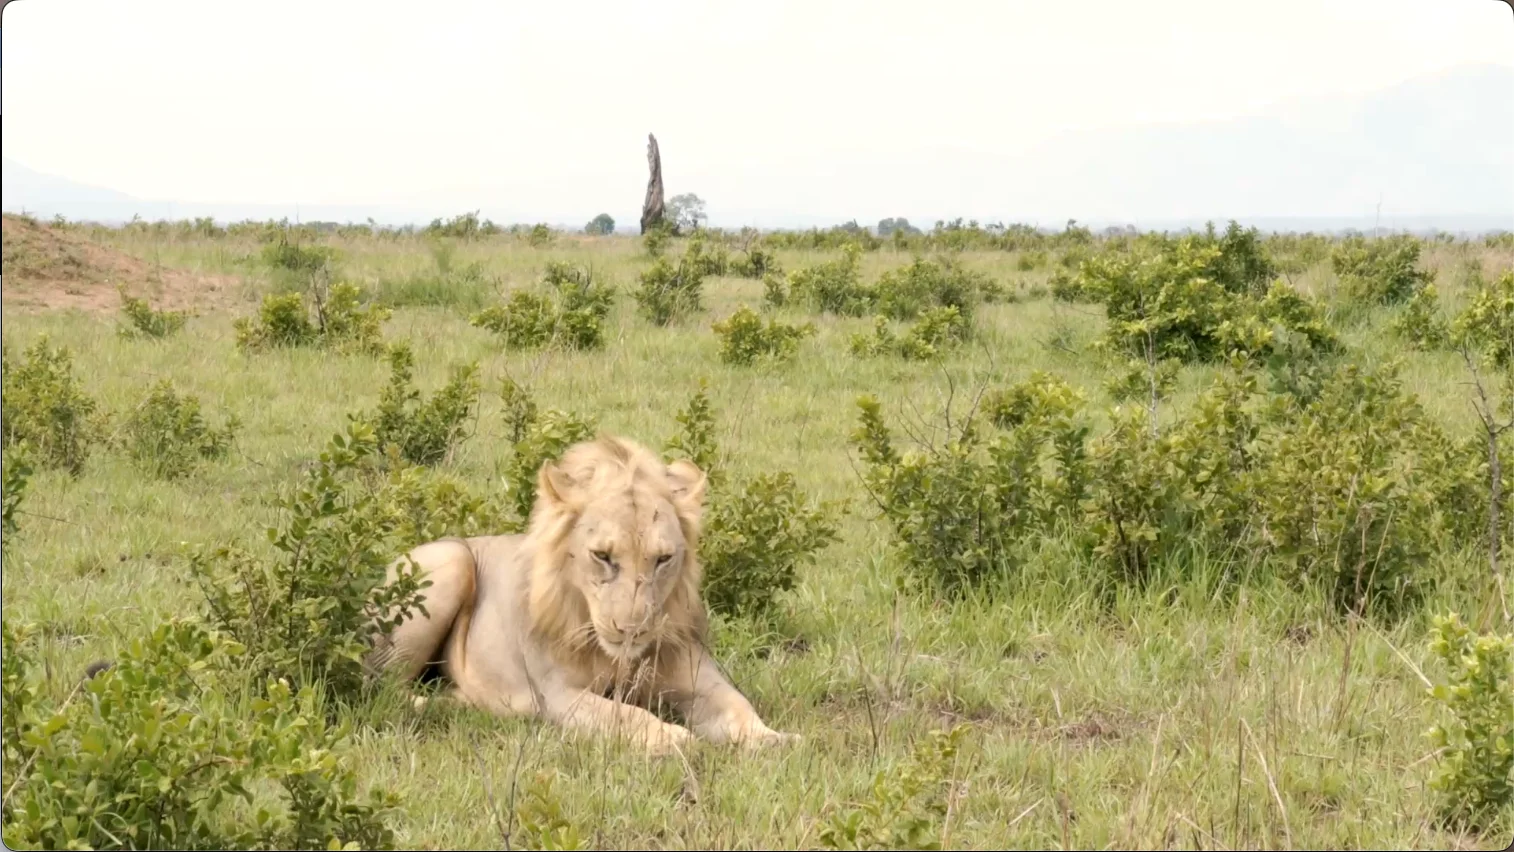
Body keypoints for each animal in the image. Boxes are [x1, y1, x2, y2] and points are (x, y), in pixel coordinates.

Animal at [363, 434, 799, 755]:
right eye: (602, 556)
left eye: (663, 559)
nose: (631, 630)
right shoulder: (558, 693)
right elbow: (625, 714)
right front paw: (672, 737)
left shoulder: (699, 679)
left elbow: (738, 705)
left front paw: (773, 740)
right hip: (451, 561)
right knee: (386, 689)